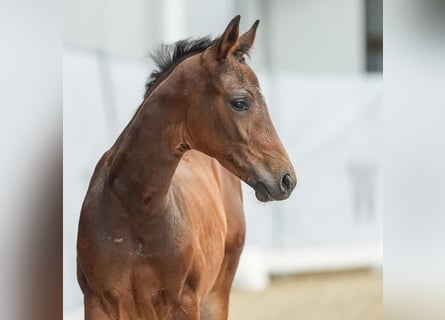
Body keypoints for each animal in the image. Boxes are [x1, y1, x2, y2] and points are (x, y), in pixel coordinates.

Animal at [77, 15, 294, 320]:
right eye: (240, 102)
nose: (286, 178)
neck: (135, 209)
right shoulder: (97, 304)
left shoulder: (185, 304)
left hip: (217, 295)